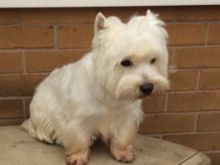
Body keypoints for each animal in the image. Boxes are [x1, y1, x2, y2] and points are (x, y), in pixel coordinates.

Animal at [21, 10, 169, 165]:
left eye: (153, 60)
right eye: (125, 62)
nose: (148, 87)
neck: (109, 94)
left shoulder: (126, 117)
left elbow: (122, 137)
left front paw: (122, 153)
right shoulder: (76, 119)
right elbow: (79, 140)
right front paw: (78, 156)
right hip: (40, 112)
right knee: (36, 127)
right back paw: (46, 137)